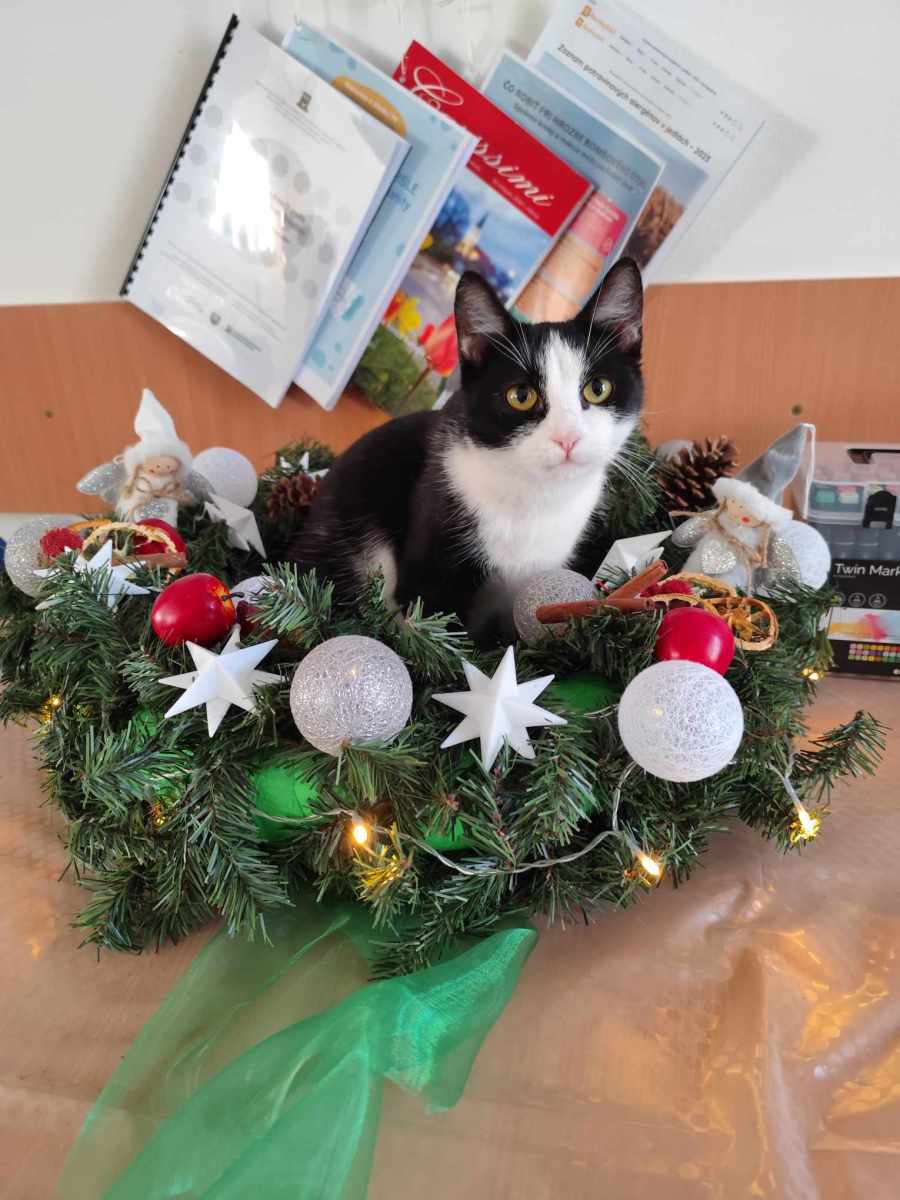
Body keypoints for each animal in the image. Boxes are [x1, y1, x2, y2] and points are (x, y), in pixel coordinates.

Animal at [289, 257, 645, 642]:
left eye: (598, 388)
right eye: (521, 396)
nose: (568, 438)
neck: (535, 496)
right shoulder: (434, 544)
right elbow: (434, 621)